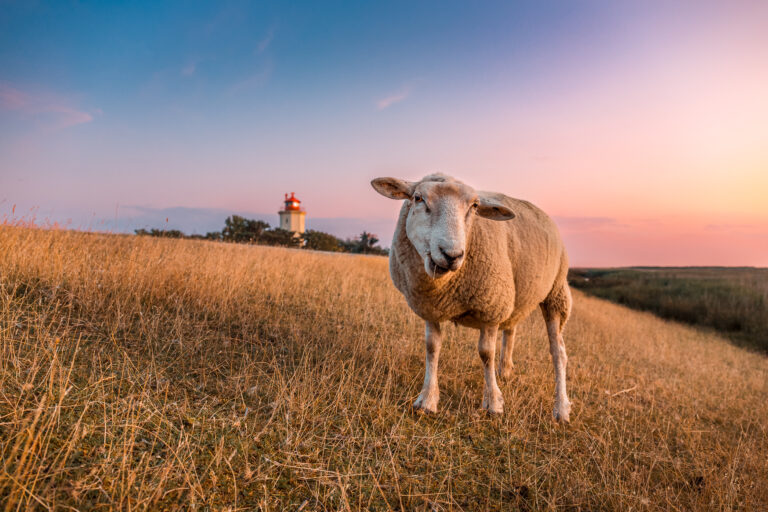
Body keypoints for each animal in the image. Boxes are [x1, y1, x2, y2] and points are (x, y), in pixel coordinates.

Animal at [371, 173, 573, 422]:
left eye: (475, 206)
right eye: (418, 198)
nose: (452, 255)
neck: (444, 287)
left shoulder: (491, 308)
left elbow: (486, 354)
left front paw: (493, 402)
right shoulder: (431, 308)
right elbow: (432, 348)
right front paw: (427, 399)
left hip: (556, 293)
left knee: (558, 353)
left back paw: (561, 408)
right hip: (517, 296)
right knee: (511, 329)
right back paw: (505, 371)